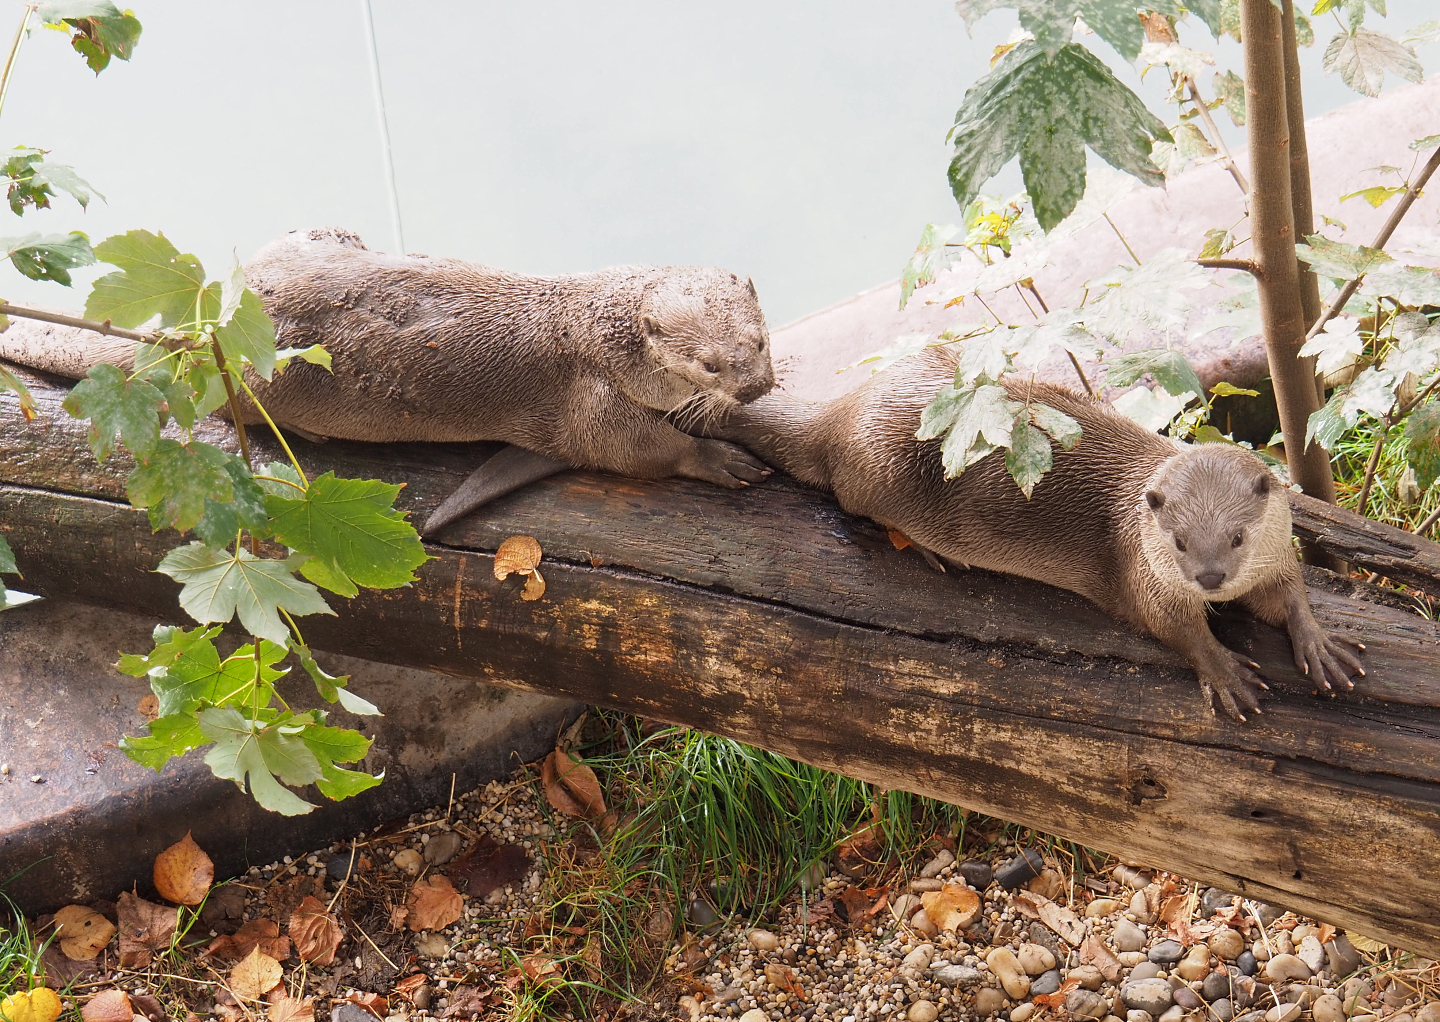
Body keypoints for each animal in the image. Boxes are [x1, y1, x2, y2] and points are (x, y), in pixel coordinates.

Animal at [0, 229, 777, 535]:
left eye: (759, 341)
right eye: (709, 363)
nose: (755, 386)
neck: (594, 331)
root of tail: (209, 329)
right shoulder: (588, 404)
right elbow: (636, 450)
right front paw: (719, 457)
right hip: (265, 376)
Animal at [707, 348, 1363, 719]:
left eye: (1236, 538)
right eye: (1178, 542)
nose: (1208, 578)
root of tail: (844, 411)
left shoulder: (1275, 555)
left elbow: (1290, 595)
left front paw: (1321, 645)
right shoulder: (1144, 570)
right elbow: (1174, 627)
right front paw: (1225, 672)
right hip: (879, 466)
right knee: (854, 505)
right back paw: (933, 552)